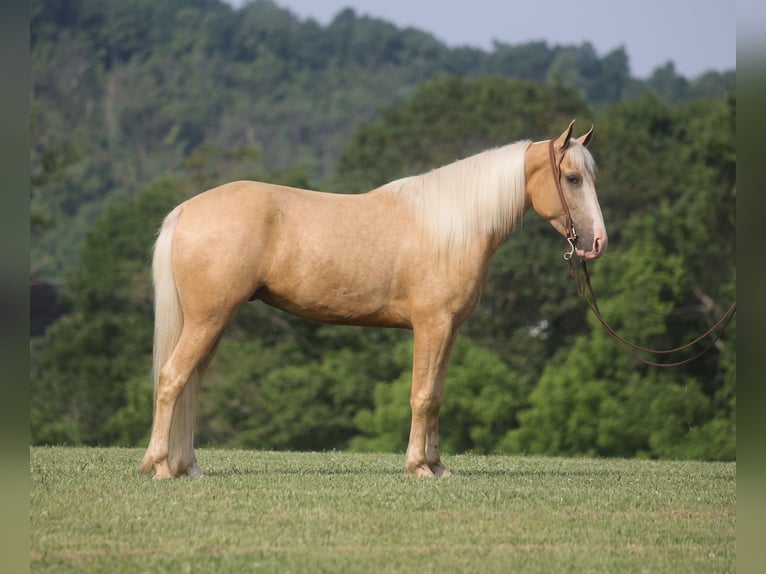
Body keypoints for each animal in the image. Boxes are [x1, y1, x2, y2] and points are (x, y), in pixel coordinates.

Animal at [140, 120, 607, 479]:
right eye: (572, 178)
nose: (597, 242)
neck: (452, 226)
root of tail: (187, 209)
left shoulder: (450, 330)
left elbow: (437, 396)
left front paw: (437, 466)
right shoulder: (432, 325)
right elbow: (422, 395)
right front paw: (418, 467)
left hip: (210, 322)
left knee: (191, 382)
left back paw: (188, 466)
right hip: (208, 319)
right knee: (172, 379)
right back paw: (160, 465)